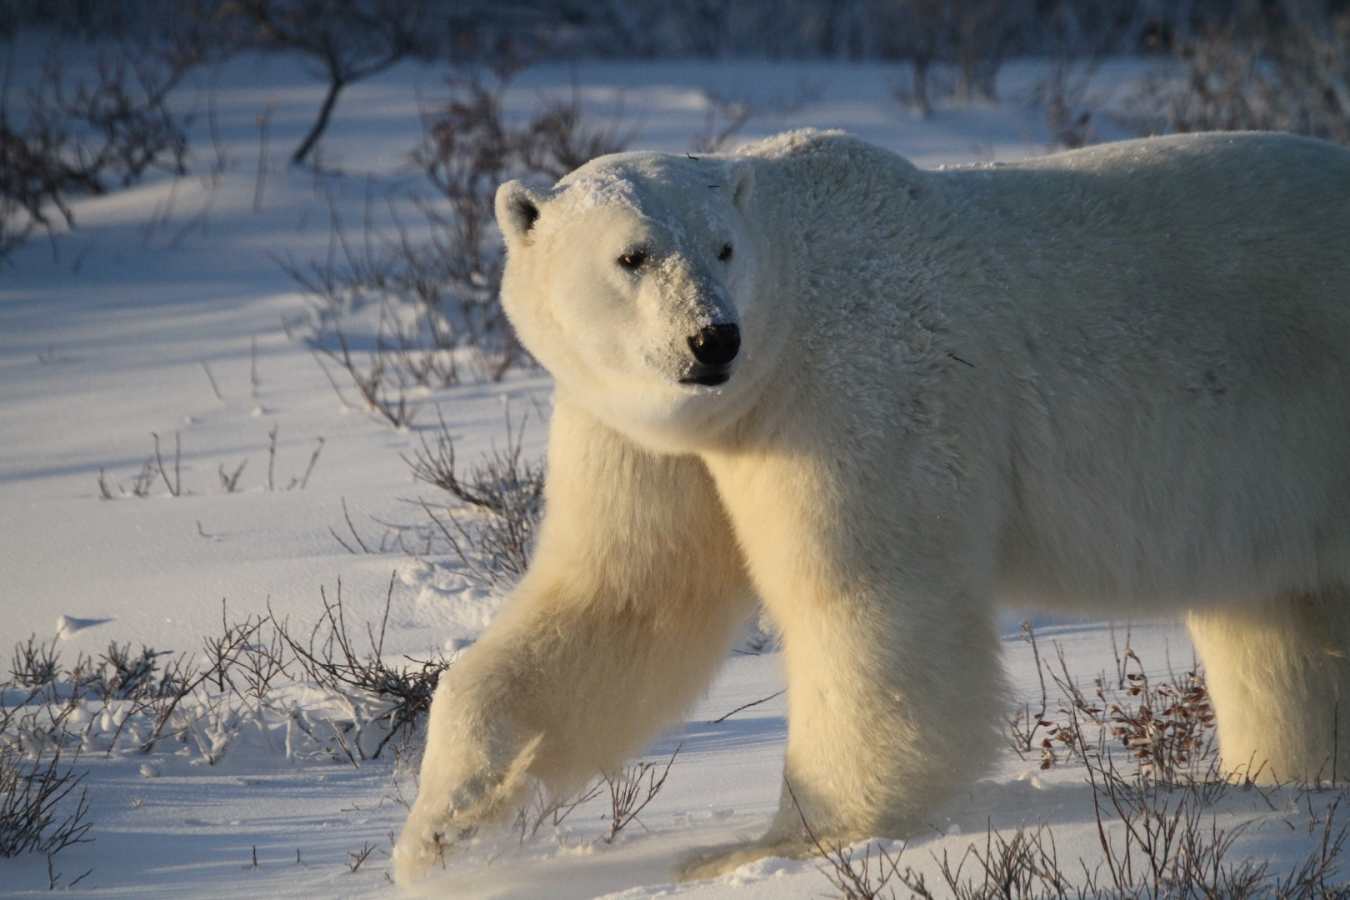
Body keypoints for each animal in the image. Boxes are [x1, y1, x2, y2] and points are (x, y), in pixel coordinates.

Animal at [394, 129, 1350, 884]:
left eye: (723, 248)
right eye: (633, 255)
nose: (712, 339)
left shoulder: (847, 388)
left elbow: (865, 596)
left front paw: (777, 846)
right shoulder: (649, 434)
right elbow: (624, 599)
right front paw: (440, 829)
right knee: (1284, 625)